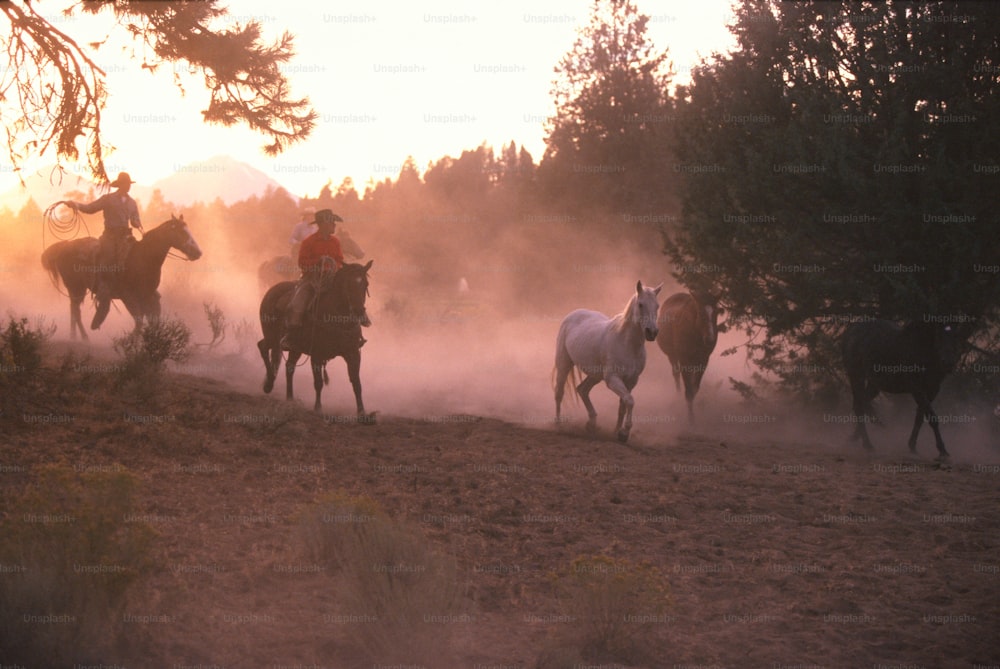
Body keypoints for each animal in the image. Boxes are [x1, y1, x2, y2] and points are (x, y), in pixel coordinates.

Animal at [41, 215, 201, 340]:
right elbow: (139, 322)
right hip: (75, 287)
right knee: (75, 311)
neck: (143, 257)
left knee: (73, 310)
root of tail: (65, 245)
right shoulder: (128, 296)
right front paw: (130, 343)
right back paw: (81, 337)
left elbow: (152, 321)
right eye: (181, 232)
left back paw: (76, 336)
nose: (198, 252)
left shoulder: (148, 296)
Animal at [258, 260, 376, 418]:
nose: (358, 311)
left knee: (289, 366)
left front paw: (362, 412)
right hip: (272, 337)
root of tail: (272, 290)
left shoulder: (353, 353)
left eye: (365, 284)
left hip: (295, 347)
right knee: (263, 346)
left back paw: (290, 398)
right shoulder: (317, 354)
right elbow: (318, 382)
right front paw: (318, 408)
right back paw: (269, 384)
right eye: (347, 284)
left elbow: (356, 383)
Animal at [556, 280, 664, 440]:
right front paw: (624, 432)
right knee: (559, 392)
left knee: (582, 390)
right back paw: (558, 425)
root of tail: (573, 314)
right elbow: (630, 401)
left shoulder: (631, 381)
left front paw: (618, 432)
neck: (626, 344)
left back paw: (591, 425)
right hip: (564, 364)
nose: (652, 332)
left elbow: (623, 405)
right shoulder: (613, 379)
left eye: (657, 306)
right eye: (640, 304)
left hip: (595, 375)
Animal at [844, 320, 968, 460]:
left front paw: (912, 445)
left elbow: (920, 417)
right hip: (856, 376)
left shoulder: (932, 390)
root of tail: (851, 330)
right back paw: (867, 444)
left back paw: (857, 436)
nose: (948, 363)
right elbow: (932, 418)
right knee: (859, 406)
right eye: (938, 335)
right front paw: (942, 450)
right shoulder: (917, 389)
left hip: (874, 384)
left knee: (862, 404)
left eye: (956, 336)